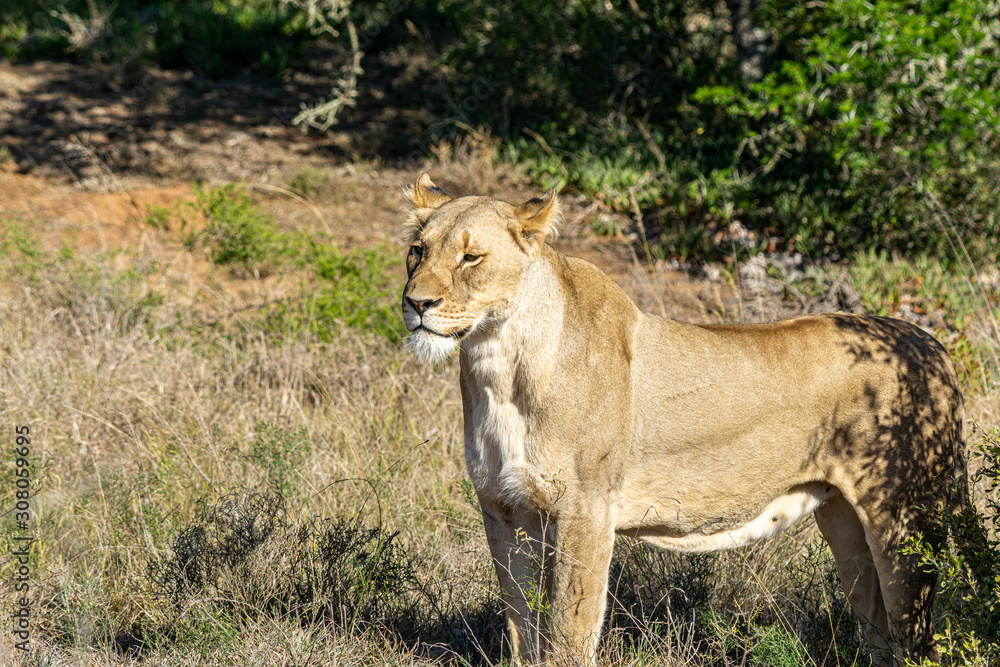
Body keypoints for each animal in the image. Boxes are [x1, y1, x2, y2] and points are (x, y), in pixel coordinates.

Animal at [400, 174, 966, 666]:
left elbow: (567, 635)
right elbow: (521, 627)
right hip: (846, 527)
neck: (498, 364)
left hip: (904, 525)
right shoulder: (504, 509)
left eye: (470, 257)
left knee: (918, 642)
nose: (416, 303)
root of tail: (931, 343)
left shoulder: (585, 511)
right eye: (417, 251)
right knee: (881, 636)